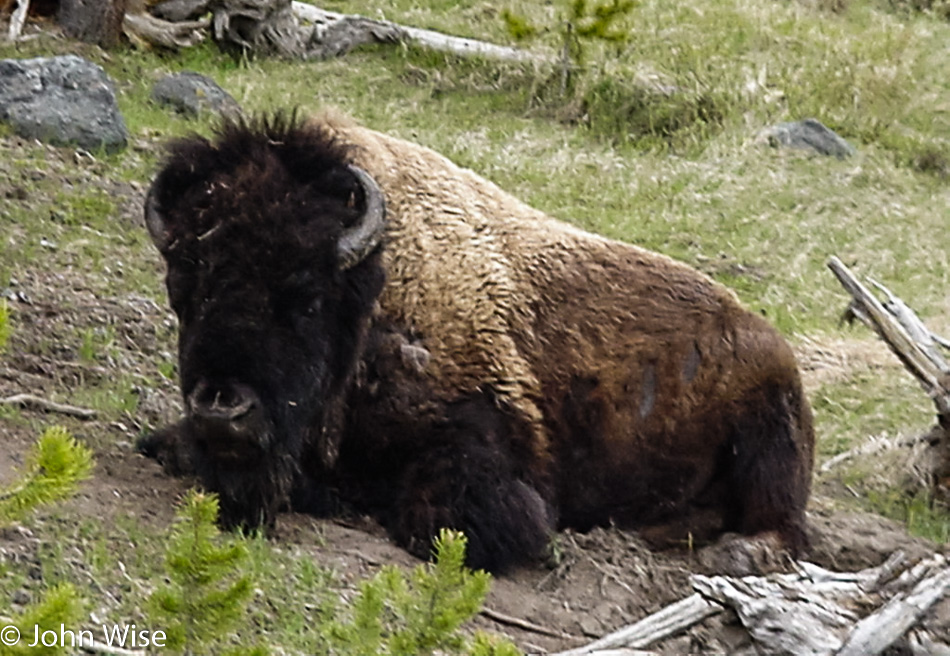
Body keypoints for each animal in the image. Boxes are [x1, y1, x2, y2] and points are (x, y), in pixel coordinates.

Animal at [143, 113, 820, 576]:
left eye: (305, 298)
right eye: (186, 290)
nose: (222, 407)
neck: (376, 289)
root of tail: (773, 344)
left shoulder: (487, 457)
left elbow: (452, 519)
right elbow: (161, 445)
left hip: (769, 443)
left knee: (785, 526)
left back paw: (738, 554)